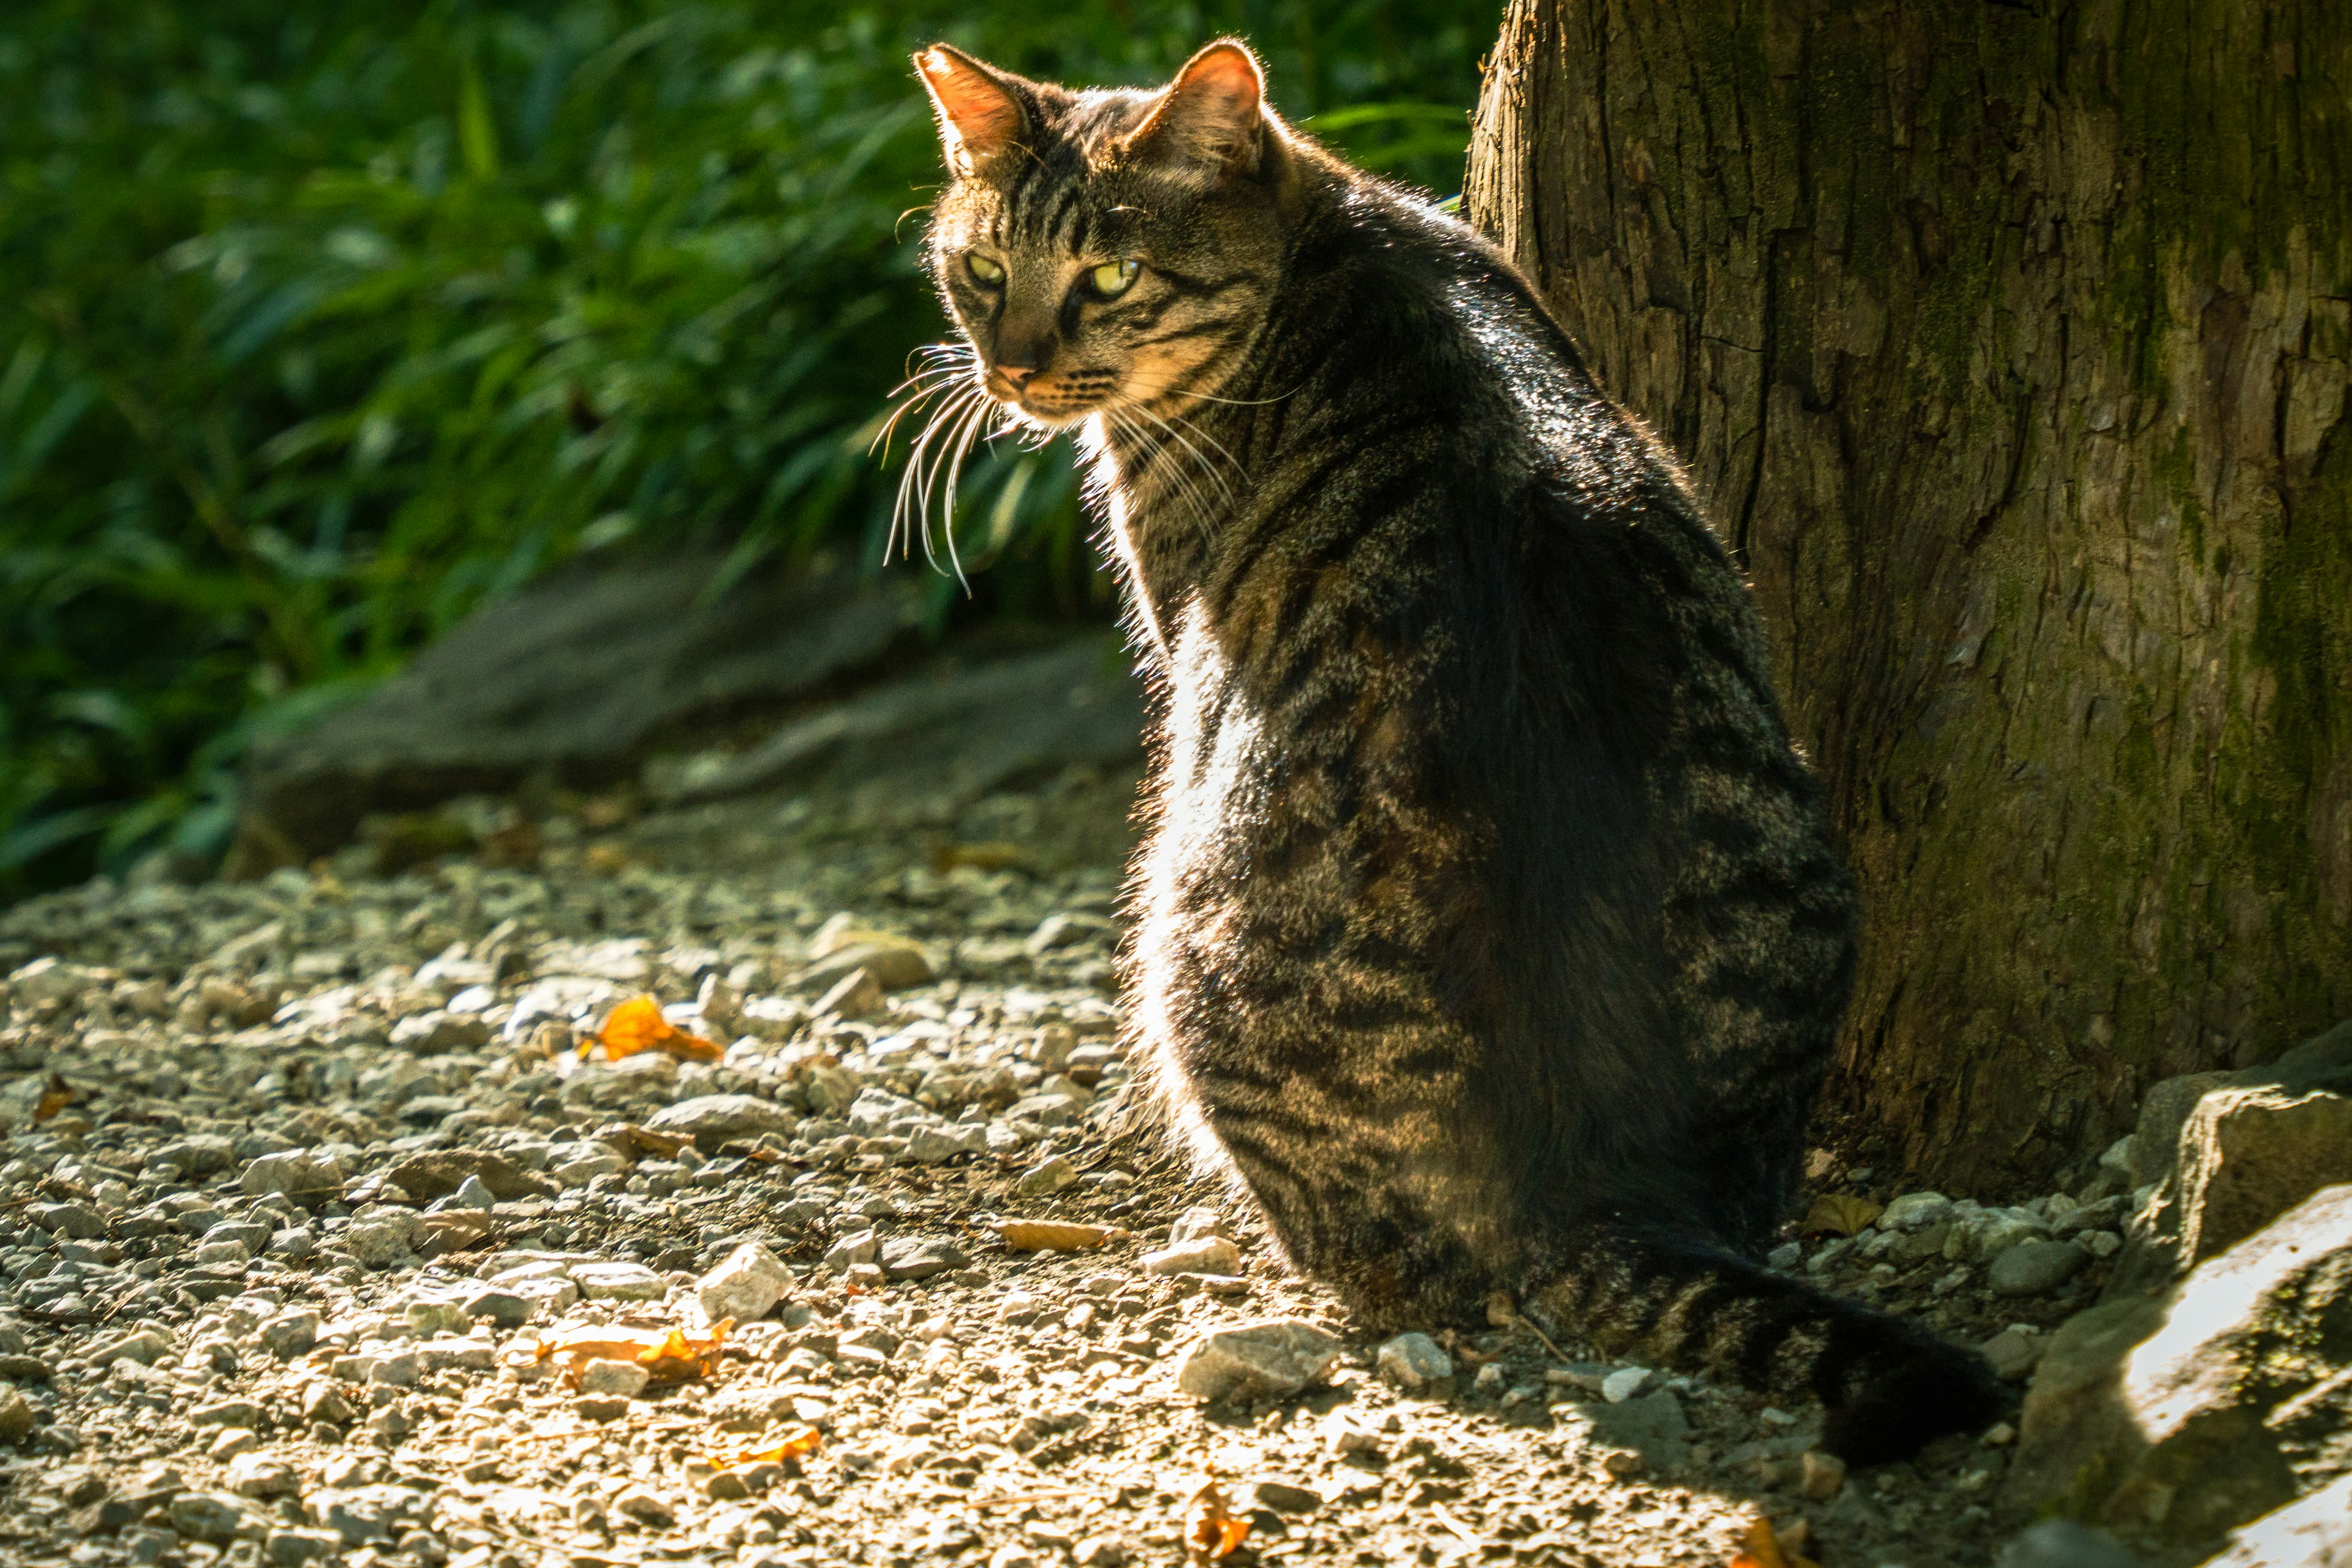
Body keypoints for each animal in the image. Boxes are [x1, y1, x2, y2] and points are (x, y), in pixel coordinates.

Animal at [908, 34, 1994, 1457]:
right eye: (983, 270)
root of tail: (1595, 1196)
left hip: (1175, 939)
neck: (1332, 247)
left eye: (1110, 276)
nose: (1018, 369)